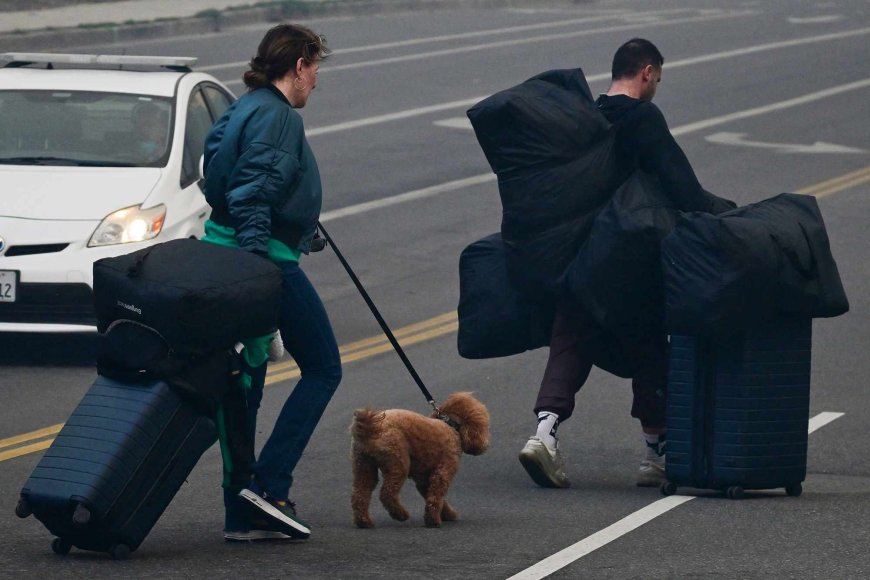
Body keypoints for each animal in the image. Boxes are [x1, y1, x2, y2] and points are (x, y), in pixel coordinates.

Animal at [352, 392, 490, 528]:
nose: (485, 444)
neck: (450, 425)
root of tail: (370, 428)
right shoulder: (443, 472)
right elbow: (435, 497)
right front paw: (433, 521)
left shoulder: (424, 478)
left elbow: (432, 496)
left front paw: (448, 514)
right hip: (397, 462)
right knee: (387, 494)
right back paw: (401, 514)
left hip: (363, 464)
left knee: (360, 494)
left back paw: (364, 522)